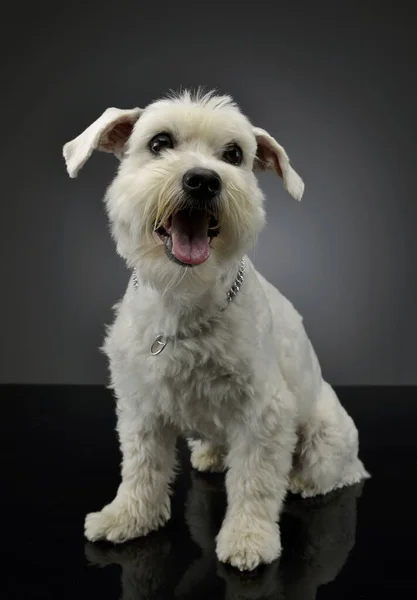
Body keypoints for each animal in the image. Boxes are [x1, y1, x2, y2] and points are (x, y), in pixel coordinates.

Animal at [61, 89, 368, 572]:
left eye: (234, 155)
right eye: (159, 142)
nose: (203, 181)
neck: (184, 301)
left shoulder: (264, 414)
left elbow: (255, 482)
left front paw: (248, 539)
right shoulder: (142, 405)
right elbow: (141, 468)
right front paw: (128, 517)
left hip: (326, 438)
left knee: (337, 472)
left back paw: (304, 480)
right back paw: (209, 455)